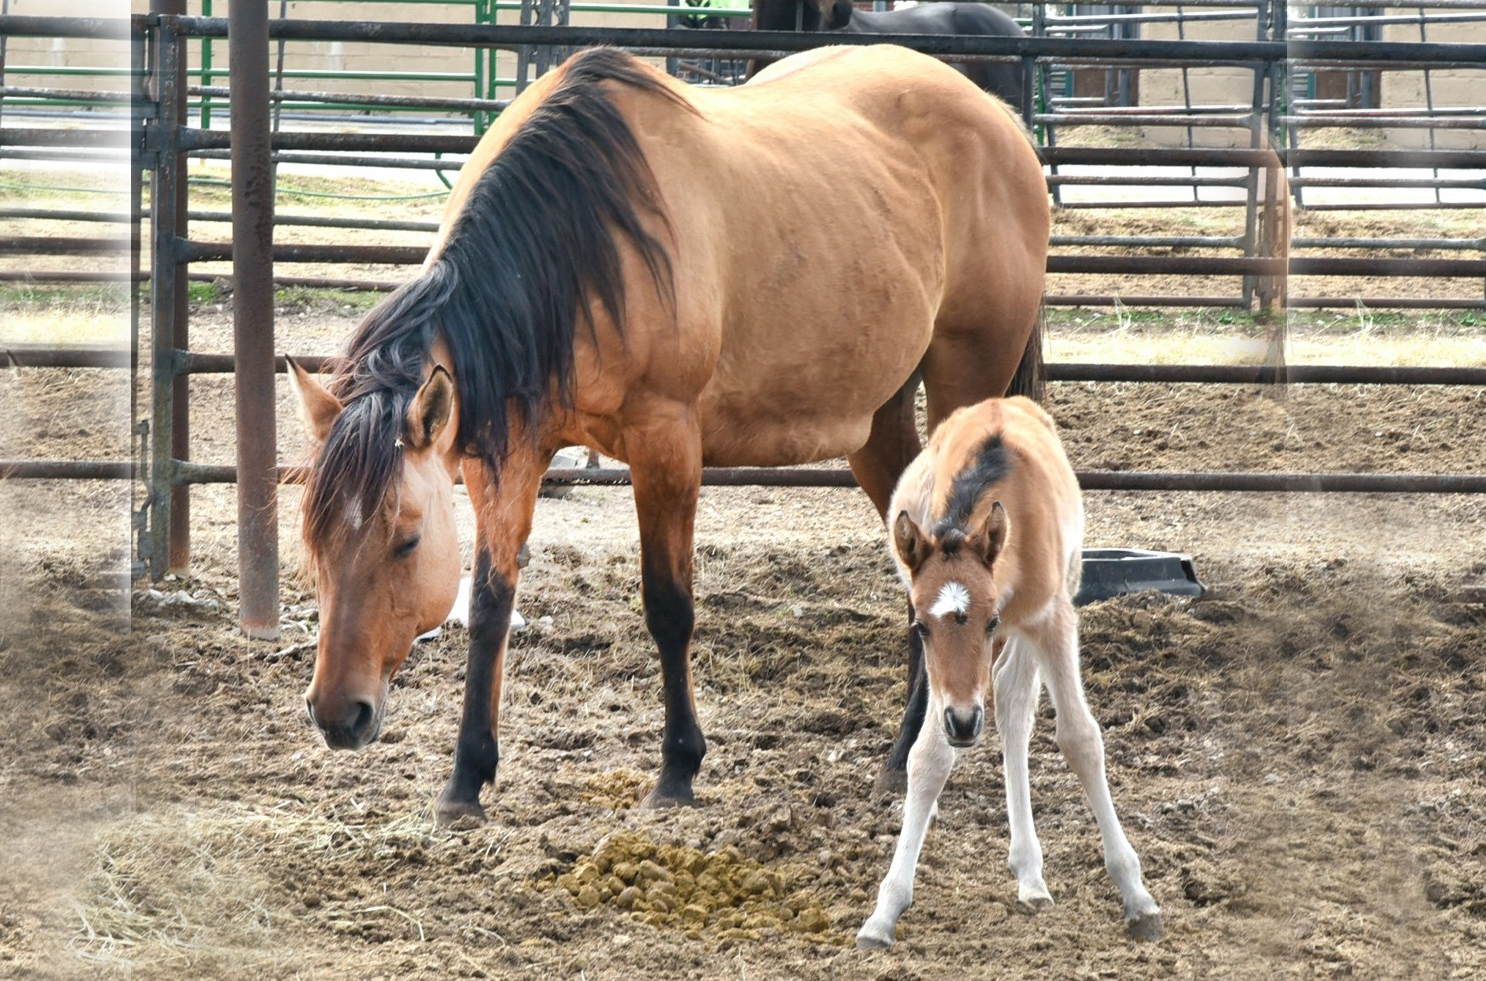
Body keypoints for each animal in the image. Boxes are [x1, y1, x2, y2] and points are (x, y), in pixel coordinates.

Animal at [286, 43, 1049, 825]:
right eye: (314, 539)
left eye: (406, 540)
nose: (337, 714)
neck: (574, 243)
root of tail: (1000, 118)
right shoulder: (510, 454)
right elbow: (491, 605)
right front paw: (466, 778)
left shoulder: (666, 444)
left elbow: (668, 606)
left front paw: (678, 767)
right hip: (875, 424)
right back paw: (902, 753)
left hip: (965, 381)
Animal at [856, 396, 1163, 946]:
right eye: (920, 626)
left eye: (990, 621)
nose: (962, 722)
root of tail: (1007, 400)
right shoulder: (945, 677)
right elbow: (928, 758)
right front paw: (884, 911)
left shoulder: (1050, 618)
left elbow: (1080, 738)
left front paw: (1137, 896)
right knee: (1010, 701)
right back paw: (1029, 873)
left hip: (1043, 614)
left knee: (1016, 701)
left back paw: (1033, 876)